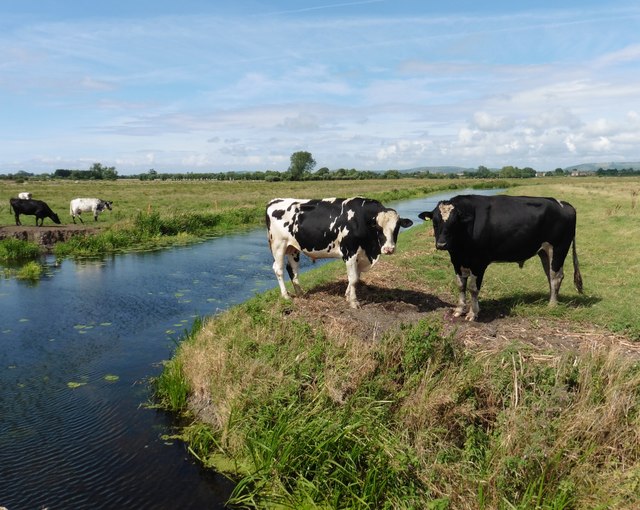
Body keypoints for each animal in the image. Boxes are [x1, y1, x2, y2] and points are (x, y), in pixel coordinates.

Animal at [266, 195, 412, 306]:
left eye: (397, 227)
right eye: (378, 227)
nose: (389, 249)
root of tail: (274, 201)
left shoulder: (360, 255)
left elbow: (356, 277)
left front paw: (347, 295)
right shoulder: (350, 252)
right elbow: (353, 278)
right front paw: (353, 302)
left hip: (293, 247)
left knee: (293, 269)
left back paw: (300, 293)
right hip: (279, 245)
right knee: (278, 269)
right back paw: (286, 296)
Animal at [418, 193, 584, 320]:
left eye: (454, 223)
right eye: (435, 222)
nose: (441, 244)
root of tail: (565, 204)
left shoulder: (479, 262)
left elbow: (472, 288)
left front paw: (473, 313)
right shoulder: (457, 260)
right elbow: (460, 285)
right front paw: (459, 310)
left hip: (559, 248)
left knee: (556, 276)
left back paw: (552, 304)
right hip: (544, 251)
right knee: (550, 274)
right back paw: (551, 299)